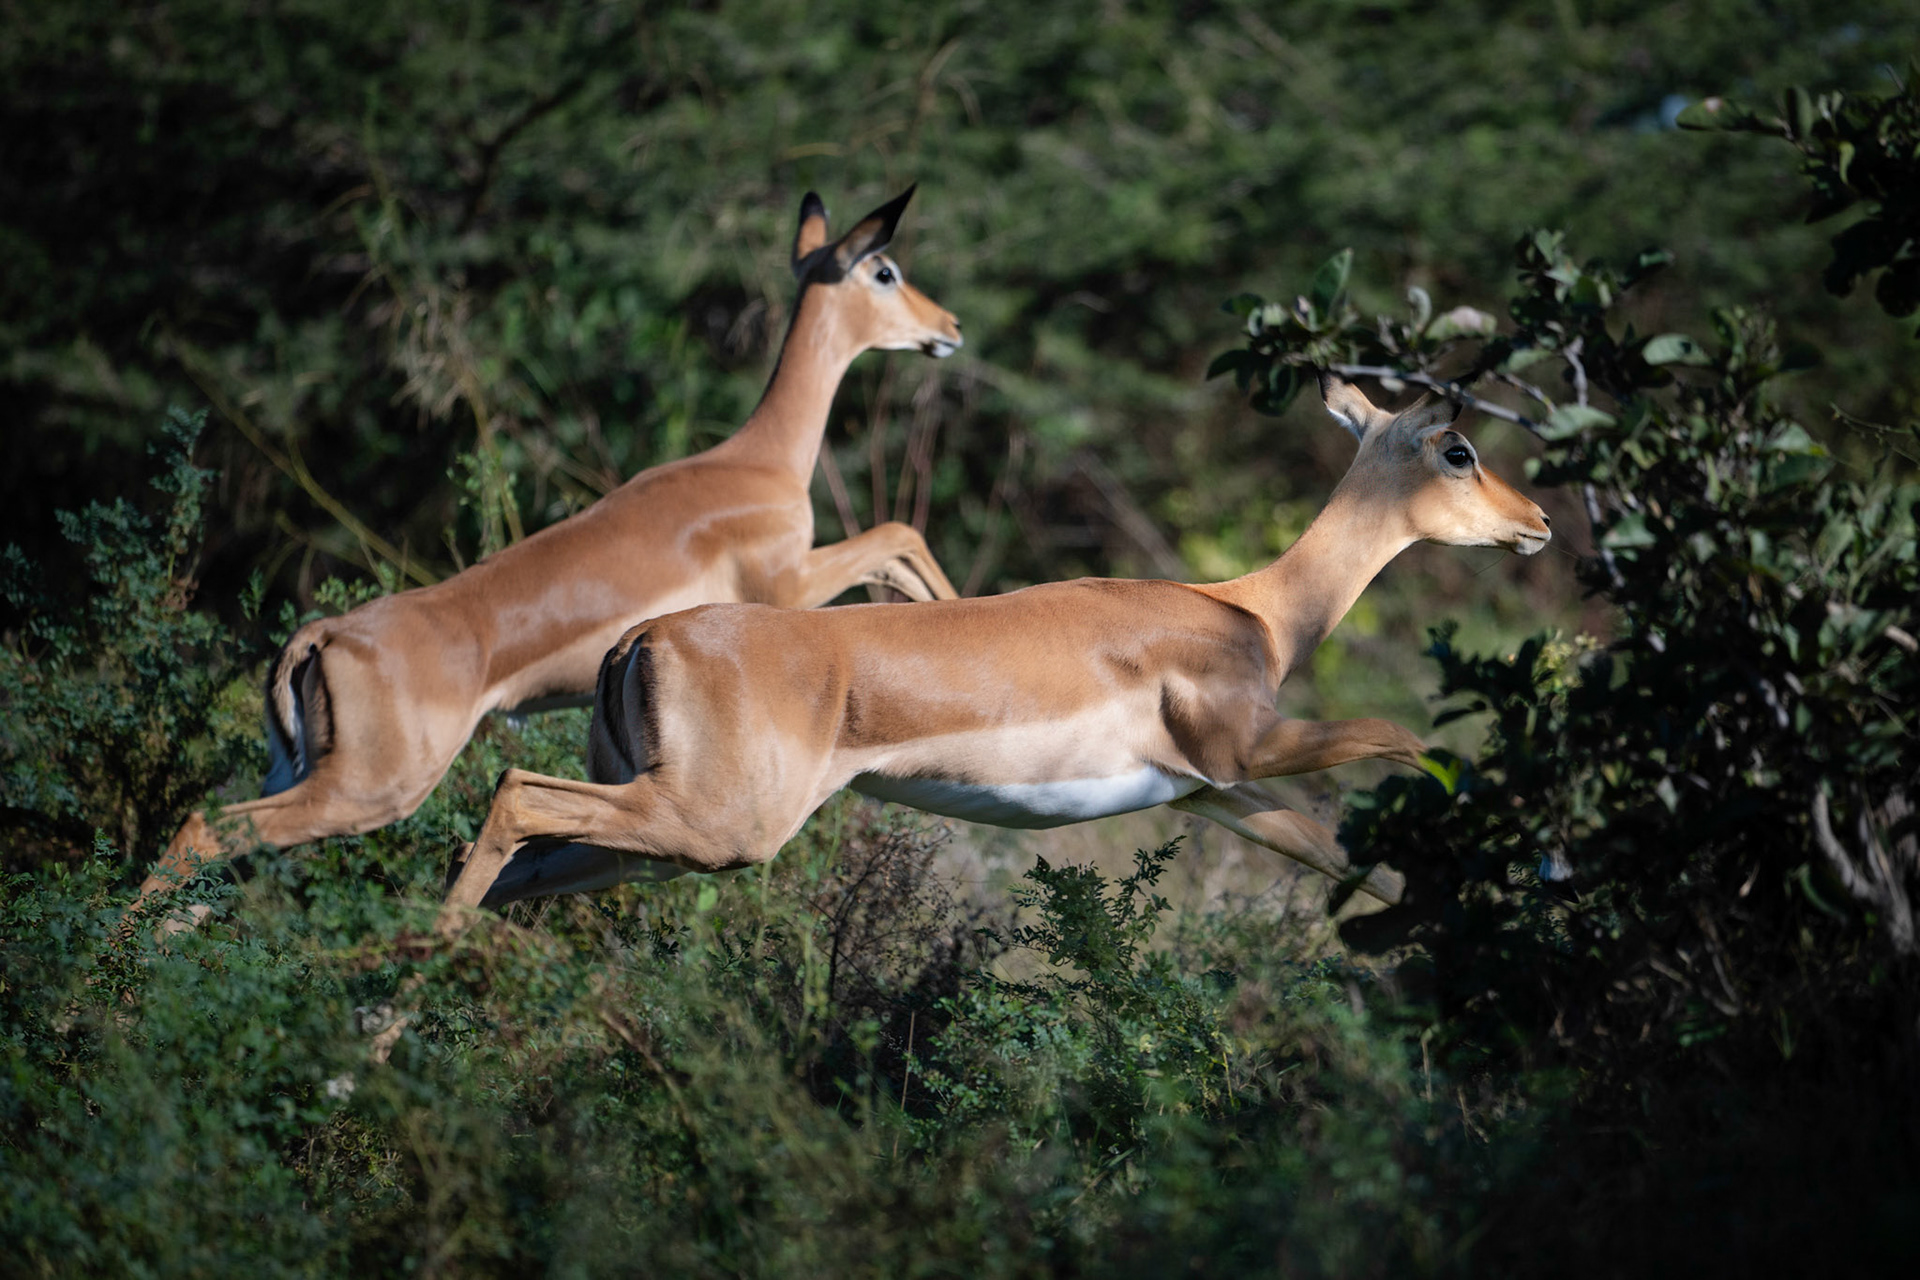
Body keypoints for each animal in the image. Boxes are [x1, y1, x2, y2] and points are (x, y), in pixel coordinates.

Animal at [139, 186, 965, 912]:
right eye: (885, 271)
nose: (949, 325)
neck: (759, 462)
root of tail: (321, 635)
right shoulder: (792, 584)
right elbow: (901, 534)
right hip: (365, 792)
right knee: (204, 829)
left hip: (296, 777)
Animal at [434, 375, 1551, 929]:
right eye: (1458, 448)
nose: (1537, 522)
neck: (1254, 611)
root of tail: (644, 636)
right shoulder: (1247, 748)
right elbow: (1406, 732)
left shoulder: (1214, 793)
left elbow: (1363, 867)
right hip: (717, 828)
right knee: (516, 794)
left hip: (647, 840)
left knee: (518, 866)